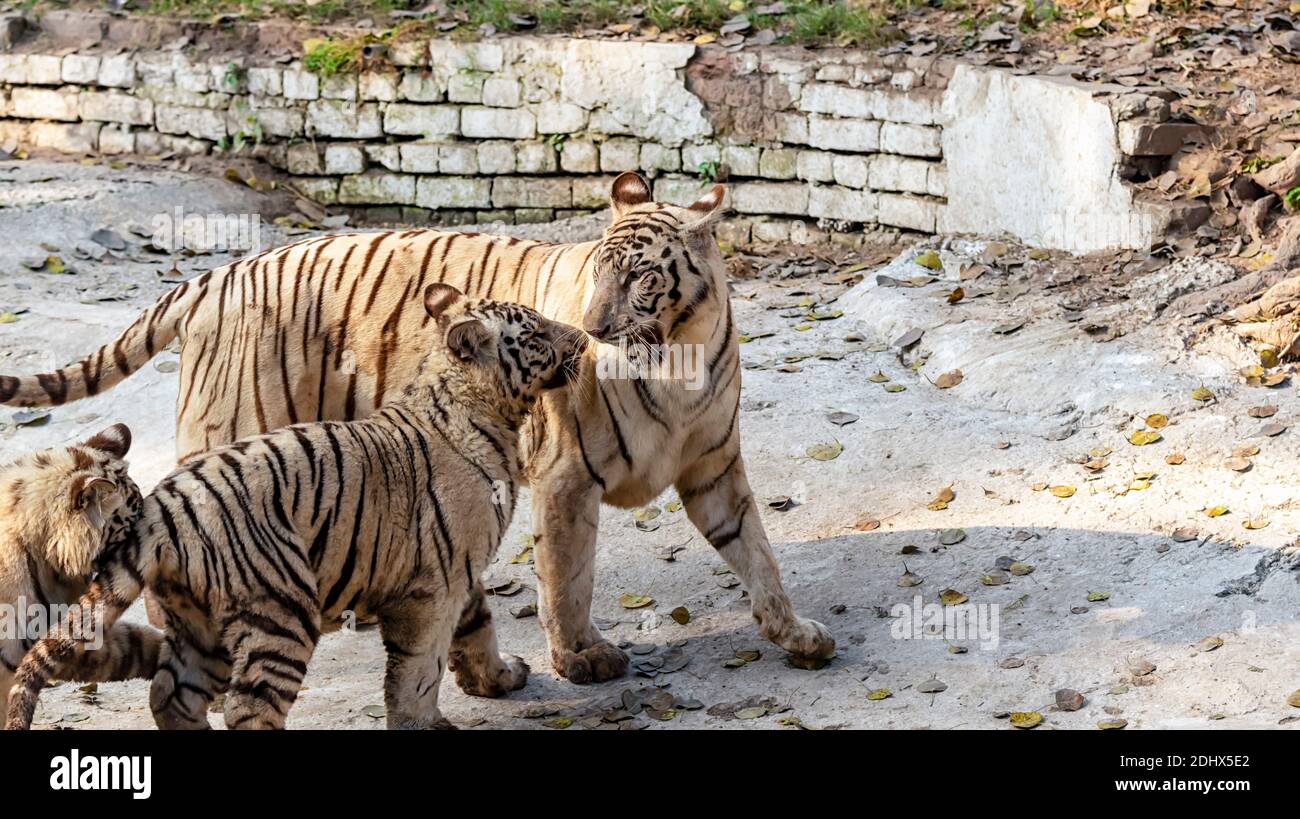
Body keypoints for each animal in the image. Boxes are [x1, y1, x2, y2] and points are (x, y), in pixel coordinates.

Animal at [0, 172, 835, 686]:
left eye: (640, 276)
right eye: (600, 273)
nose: (594, 330)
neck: (679, 354)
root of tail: (218, 273)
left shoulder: (714, 469)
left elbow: (759, 554)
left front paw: (796, 633)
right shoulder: (568, 477)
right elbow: (569, 576)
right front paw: (581, 657)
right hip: (231, 438)